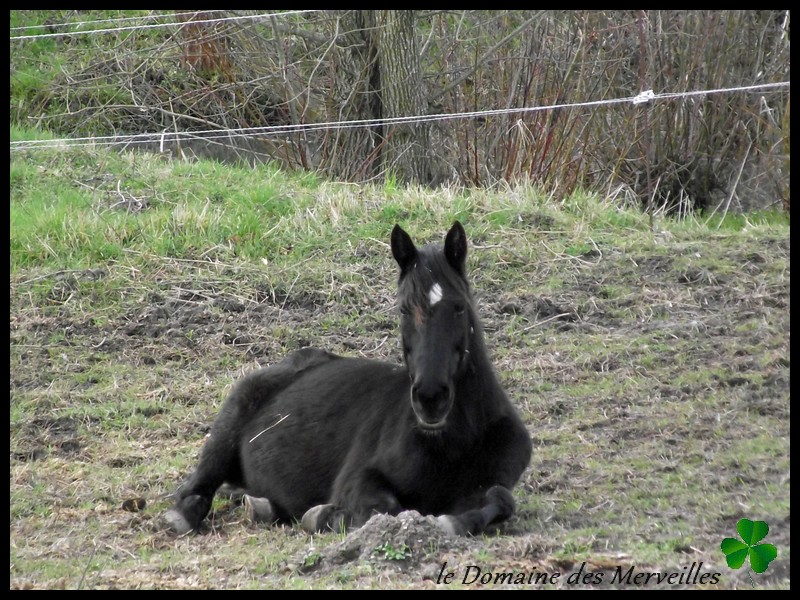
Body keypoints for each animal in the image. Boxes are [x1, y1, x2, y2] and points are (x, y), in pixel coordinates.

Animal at [164, 223, 532, 536]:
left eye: (458, 307)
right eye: (403, 308)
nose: (430, 398)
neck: (451, 444)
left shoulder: (492, 483)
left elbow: (499, 499)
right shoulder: (359, 478)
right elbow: (384, 507)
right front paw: (326, 515)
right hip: (227, 428)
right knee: (198, 487)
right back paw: (186, 515)